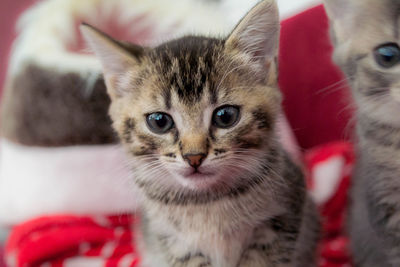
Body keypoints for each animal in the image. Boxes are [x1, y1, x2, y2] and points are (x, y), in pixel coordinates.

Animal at [81, 1, 318, 266]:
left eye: (225, 116)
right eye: (159, 122)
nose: (194, 157)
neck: (205, 201)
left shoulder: (284, 217)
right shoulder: (171, 241)